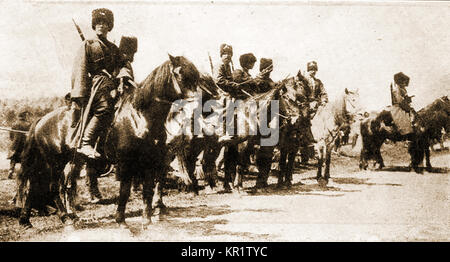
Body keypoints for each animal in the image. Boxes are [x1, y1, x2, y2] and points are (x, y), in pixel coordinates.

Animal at [17, 54, 200, 227]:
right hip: (54, 162)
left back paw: (31, 219)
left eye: (196, 76)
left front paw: (147, 219)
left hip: (66, 161)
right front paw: (121, 220)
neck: (140, 115)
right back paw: (64, 218)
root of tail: (41, 120)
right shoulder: (126, 162)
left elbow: (148, 189)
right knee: (52, 187)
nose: (196, 103)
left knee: (48, 185)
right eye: (179, 74)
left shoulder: (150, 160)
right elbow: (125, 191)